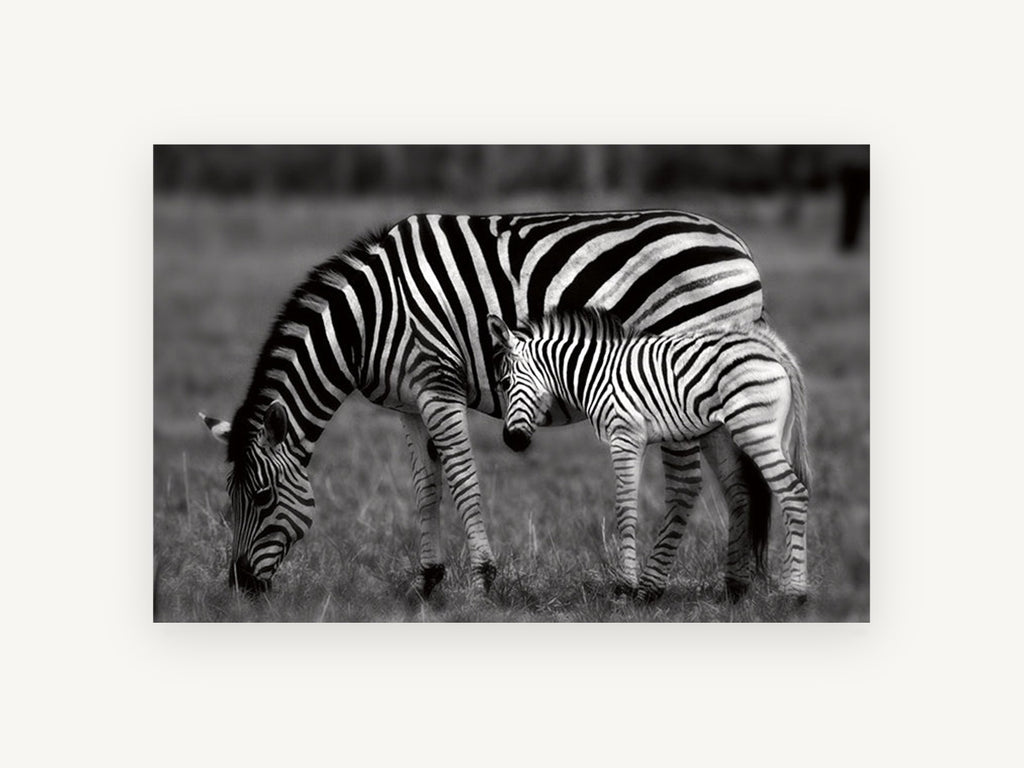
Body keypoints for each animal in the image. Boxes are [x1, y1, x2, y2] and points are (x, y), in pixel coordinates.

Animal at [199, 209, 770, 597]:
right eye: (230, 498)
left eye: (264, 498)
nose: (239, 587)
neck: (368, 321)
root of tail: (738, 244)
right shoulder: (409, 404)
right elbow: (426, 488)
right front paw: (428, 582)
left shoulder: (439, 385)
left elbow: (463, 481)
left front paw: (482, 580)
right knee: (737, 483)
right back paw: (735, 588)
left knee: (688, 483)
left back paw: (650, 589)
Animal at [488, 309, 811, 600]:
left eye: (505, 383)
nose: (511, 441)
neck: (595, 374)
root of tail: (769, 347)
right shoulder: (637, 439)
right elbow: (630, 506)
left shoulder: (624, 436)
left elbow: (624, 509)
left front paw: (625, 587)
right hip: (761, 433)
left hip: (754, 431)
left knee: (793, 493)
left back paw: (795, 593)